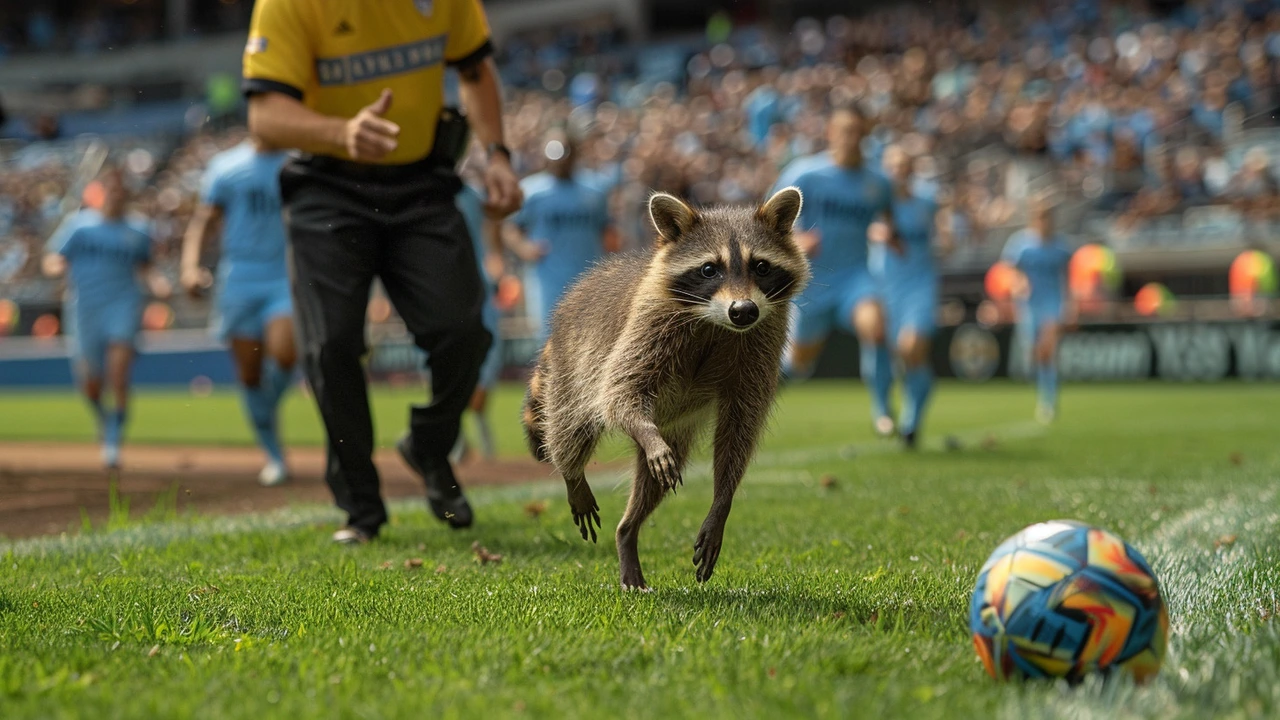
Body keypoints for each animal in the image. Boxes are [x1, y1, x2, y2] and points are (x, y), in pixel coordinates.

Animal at [514, 185, 803, 589]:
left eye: (761, 266)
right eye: (709, 269)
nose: (743, 310)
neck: (715, 322)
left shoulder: (762, 340)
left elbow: (740, 426)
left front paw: (722, 498)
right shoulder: (648, 324)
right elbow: (620, 389)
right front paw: (646, 435)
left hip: (674, 425)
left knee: (650, 486)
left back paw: (627, 530)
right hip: (571, 367)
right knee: (571, 426)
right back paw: (572, 472)